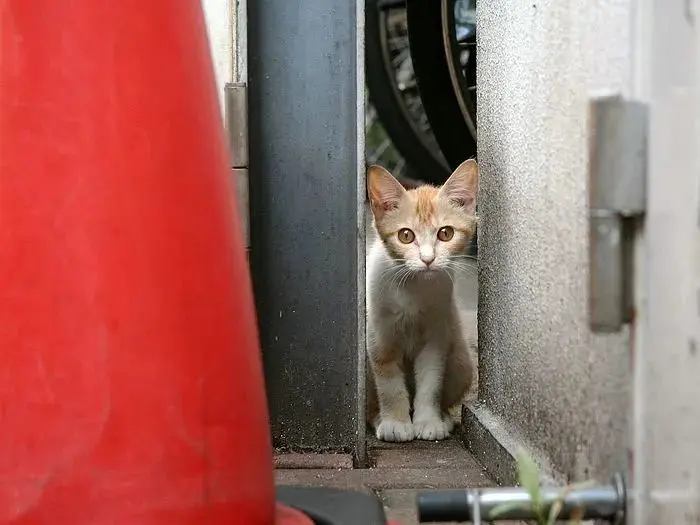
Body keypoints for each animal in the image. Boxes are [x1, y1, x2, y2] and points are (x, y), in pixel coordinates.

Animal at [364, 160, 478, 442]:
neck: (413, 288)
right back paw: (377, 416)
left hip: (460, 359)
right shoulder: (380, 338)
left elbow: (430, 381)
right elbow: (389, 384)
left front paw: (428, 421)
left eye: (446, 233)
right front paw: (395, 422)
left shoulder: (437, 335)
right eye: (405, 236)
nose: (428, 259)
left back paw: (445, 417)